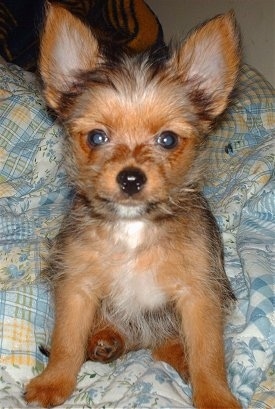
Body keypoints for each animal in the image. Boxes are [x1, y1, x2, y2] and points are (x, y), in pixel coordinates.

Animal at [24, 4, 243, 406]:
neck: (133, 228)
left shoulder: (199, 295)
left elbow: (208, 353)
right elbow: (66, 341)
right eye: (97, 137)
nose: (130, 178)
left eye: (168, 140)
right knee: (108, 331)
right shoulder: (77, 286)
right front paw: (53, 382)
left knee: (168, 345)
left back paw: (175, 359)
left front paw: (214, 396)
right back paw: (105, 341)